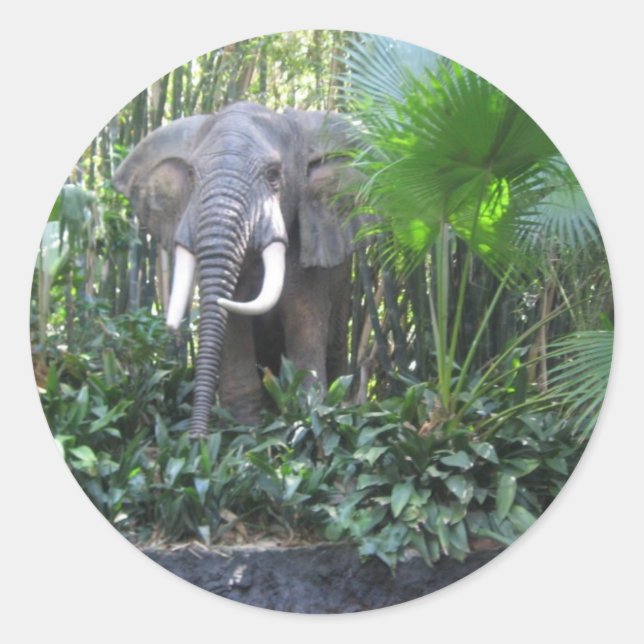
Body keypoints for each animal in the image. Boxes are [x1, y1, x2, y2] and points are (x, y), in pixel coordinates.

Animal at [113, 102, 362, 436]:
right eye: (191, 174)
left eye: (274, 175)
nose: (195, 439)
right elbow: (230, 323)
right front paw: (245, 434)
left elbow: (304, 319)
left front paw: (306, 419)